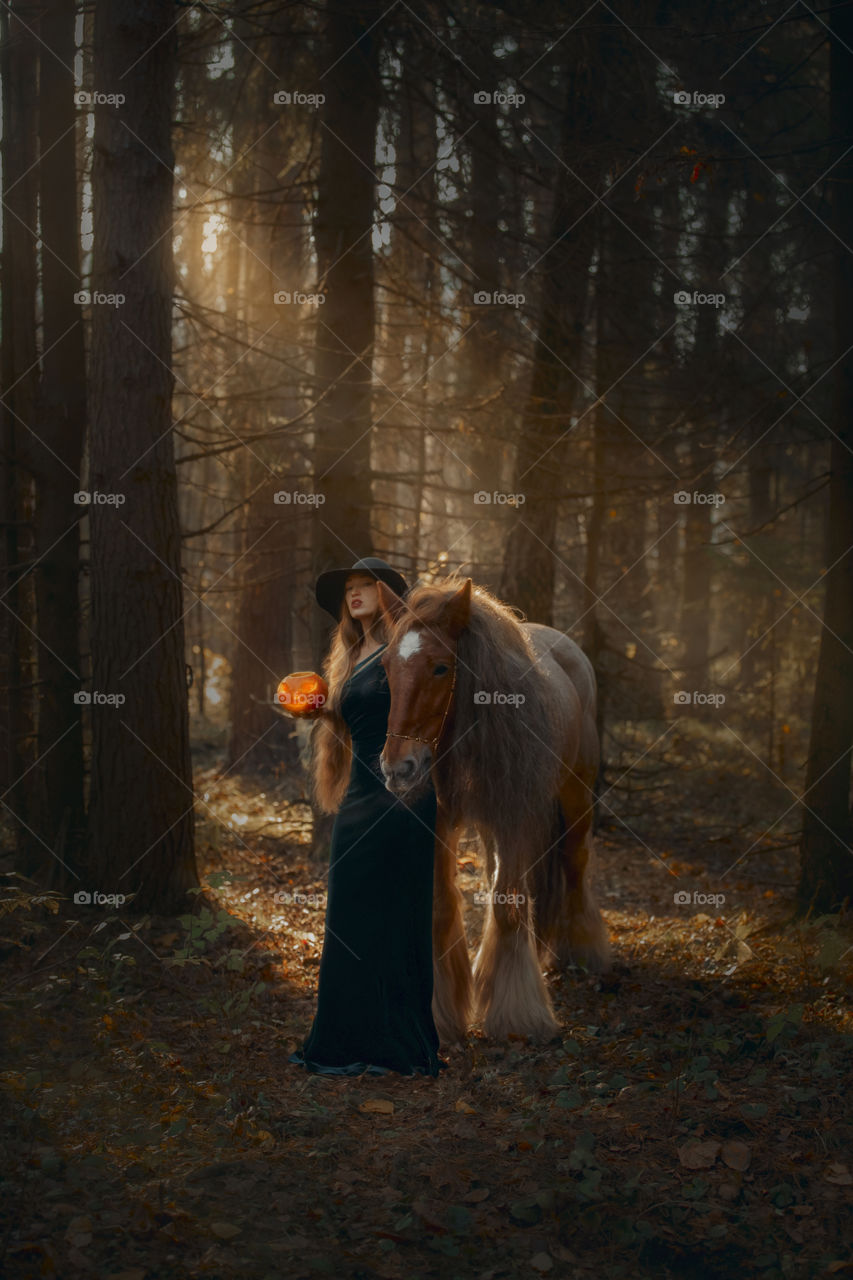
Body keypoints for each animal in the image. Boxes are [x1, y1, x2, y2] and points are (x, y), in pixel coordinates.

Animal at [376, 576, 607, 1044]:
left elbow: (507, 905)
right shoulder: (442, 825)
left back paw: (581, 950)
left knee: (574, 863)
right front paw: (442, 1011)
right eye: (388, 665)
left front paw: (518, 1014)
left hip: (576, 797)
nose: (398, 767)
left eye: (440, 667)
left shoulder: (513, 818)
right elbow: (443, 906)